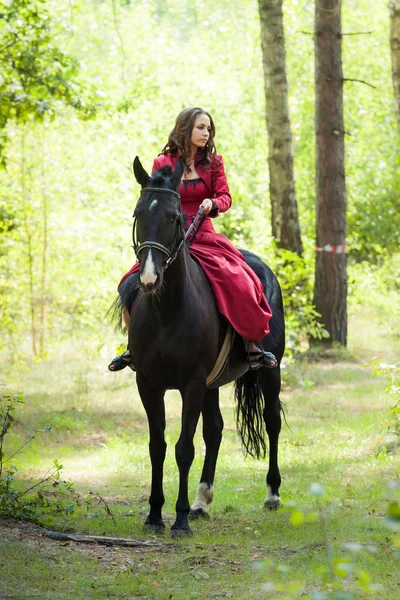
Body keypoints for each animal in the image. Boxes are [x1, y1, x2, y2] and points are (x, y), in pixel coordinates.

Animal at [125, 156, 284, 536]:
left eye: (174, 218)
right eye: (138, 214)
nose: (149, 278)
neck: (167, 310)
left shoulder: (192, 384)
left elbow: (184, 448)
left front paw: (179, 519)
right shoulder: (148, 383)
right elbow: (157, 446)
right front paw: (155, 514)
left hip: (270, 372)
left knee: (272, 421)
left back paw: (272, 494)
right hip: (213, 383)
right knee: (214, 431)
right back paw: (202, 501)